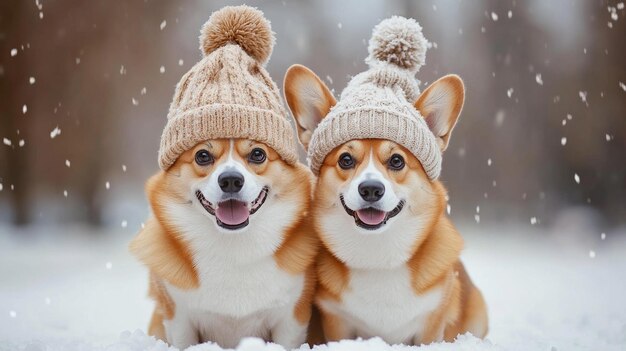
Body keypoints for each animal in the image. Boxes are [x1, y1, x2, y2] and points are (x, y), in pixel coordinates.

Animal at [130, 140, 316, 350]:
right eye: (202, 156)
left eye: (257, 154)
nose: (231, 180)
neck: (233, 247)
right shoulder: (179, 319)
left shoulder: (290, 319)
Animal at [282, 64, 488, 346]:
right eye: (345, 159)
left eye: (397, 161)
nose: (371, 189)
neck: (378, 255)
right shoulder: (337, 322)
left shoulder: (431, 324)